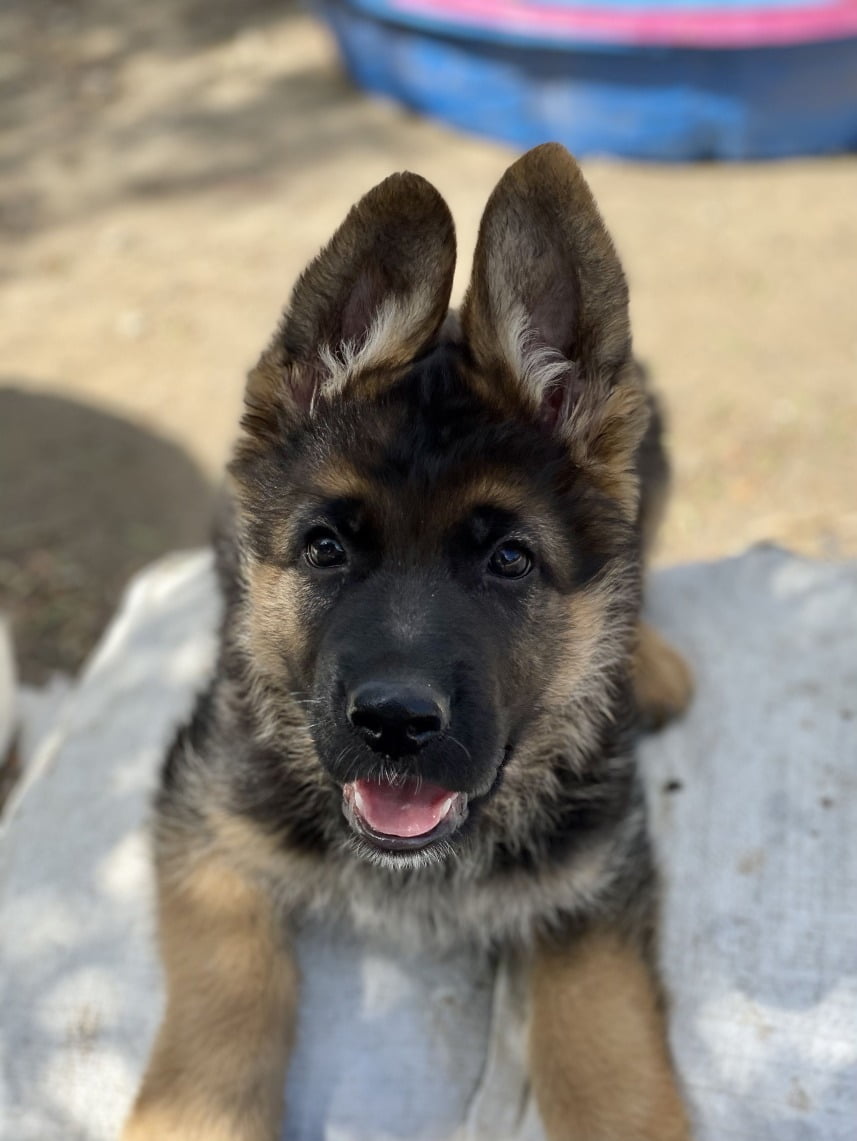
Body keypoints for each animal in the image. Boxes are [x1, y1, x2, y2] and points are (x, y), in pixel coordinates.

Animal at [123, 147, 693, 1141]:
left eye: (509, 559)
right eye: (326, 547)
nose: (394, 724)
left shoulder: (594, 877)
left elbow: (605, 1044)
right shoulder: (204, 815)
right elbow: (228, 987)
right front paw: (192, 1114)